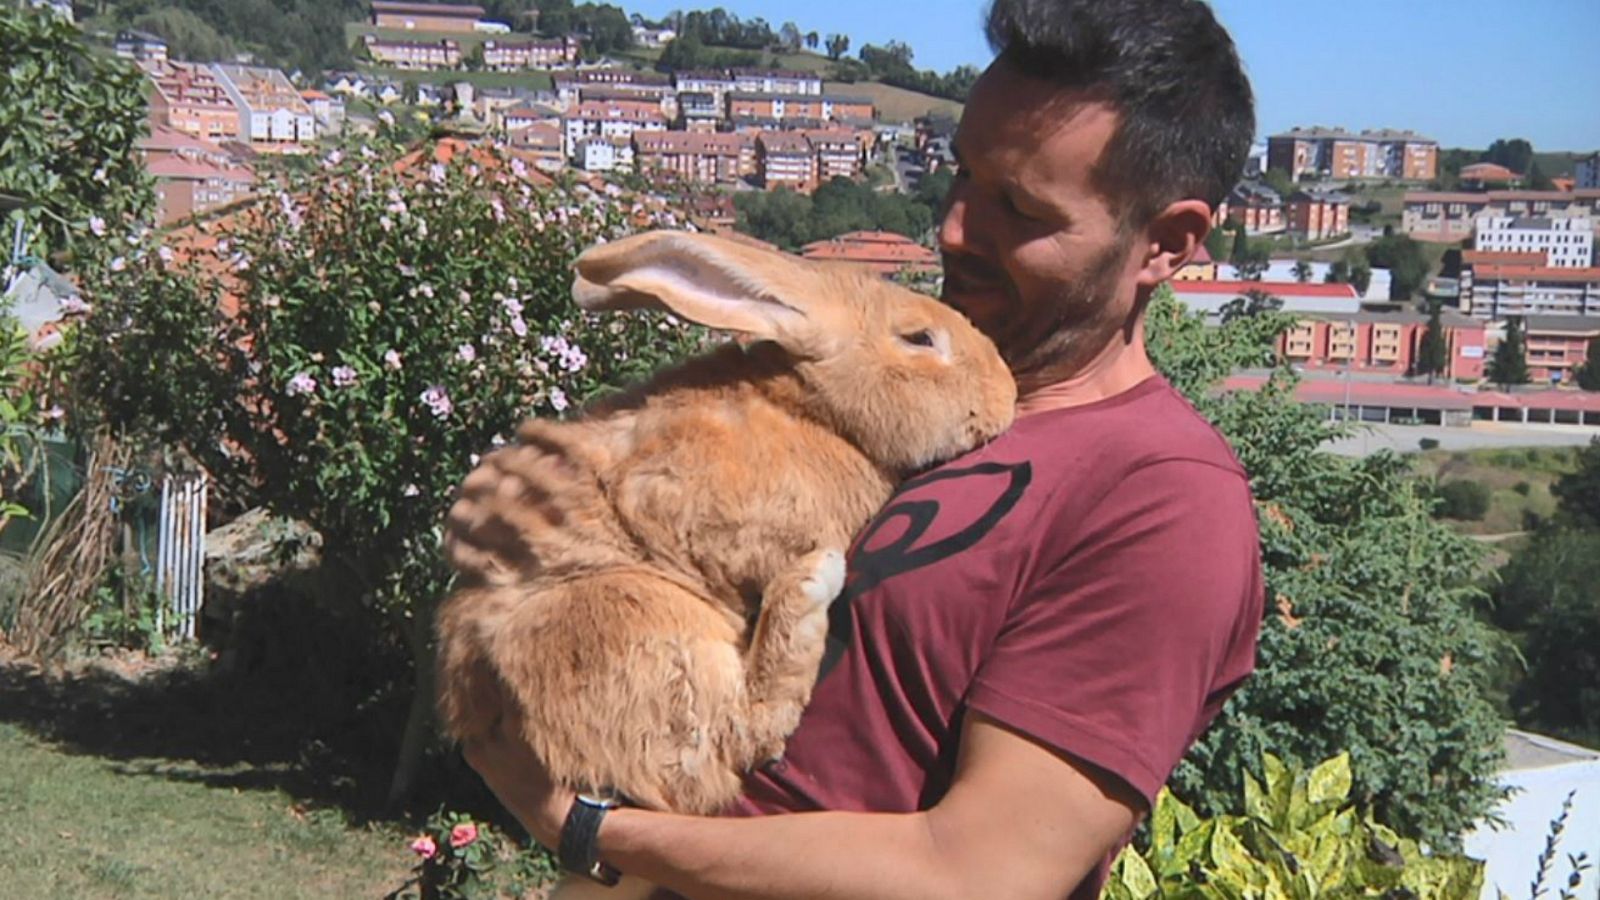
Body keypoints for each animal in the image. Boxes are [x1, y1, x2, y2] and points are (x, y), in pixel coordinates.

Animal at [435, 230, 1016, 827]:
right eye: (919, 338)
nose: (1008, 393)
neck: (811, 412)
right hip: (630, 621)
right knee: (724, 747)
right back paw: (810, 586)